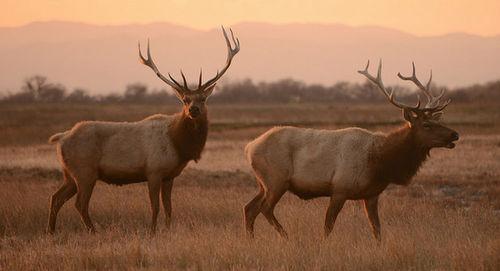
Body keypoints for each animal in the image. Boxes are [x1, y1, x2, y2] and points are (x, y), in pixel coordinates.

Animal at [46, 26, 240, 234]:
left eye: (203, 99)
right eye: (184, 100)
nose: (193, 110)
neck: (178, 144)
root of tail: (61, 138)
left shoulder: (169, 175)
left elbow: (169, 207)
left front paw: (168, 230)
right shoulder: (153, 171)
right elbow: (155, 206)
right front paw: (152, 231)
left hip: (69, 174)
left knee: (56, 198)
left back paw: (51, 231)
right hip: (84, 171)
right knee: (80, 204)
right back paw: (93, 231)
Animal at [244, 61, 458, 240]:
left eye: (437, 121)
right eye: (427, 125)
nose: (455, 134)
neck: (380, 163)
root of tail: (249, 147)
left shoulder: (371, 194)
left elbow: (376, 229)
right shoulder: (340, 188)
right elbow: (328, 225)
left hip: (264, 183)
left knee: (249, 208)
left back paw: (252, 240)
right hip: (276, 179)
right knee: (264, 208)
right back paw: (286, 237)